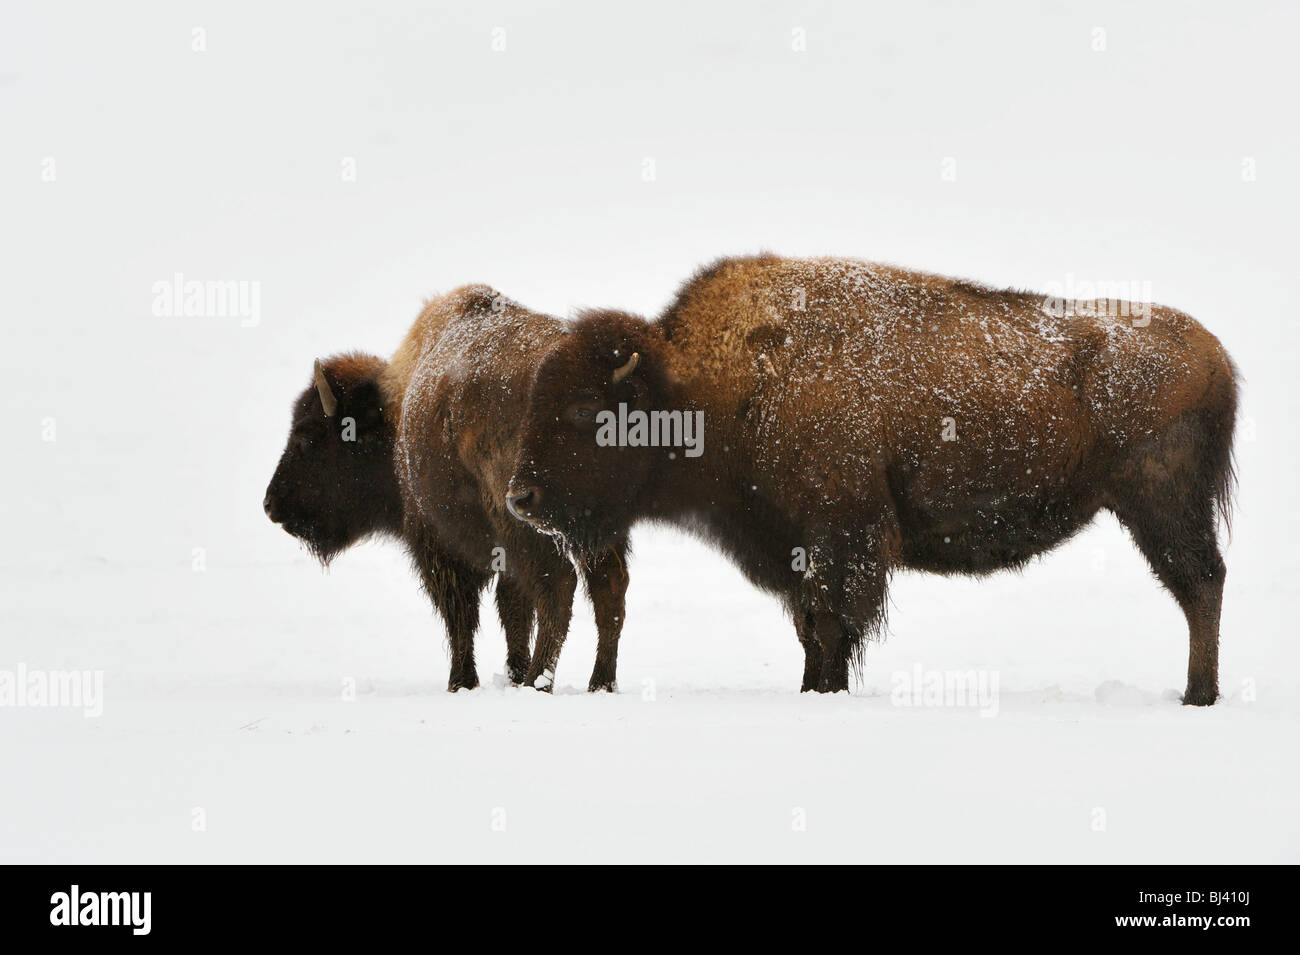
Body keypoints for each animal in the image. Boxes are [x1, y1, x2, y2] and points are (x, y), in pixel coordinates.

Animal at [263, 285, 629, 696]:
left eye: (306, 436)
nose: (271, 504)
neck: (395, 412)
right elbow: (512, 610)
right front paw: (510, 674)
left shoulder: (438, 542)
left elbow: (461, 614)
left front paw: (461, 683)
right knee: (609, 590)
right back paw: (600, 684)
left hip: (527, 524)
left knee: (559, 589)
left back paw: (539, 683)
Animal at [506, 254, 1237, 701]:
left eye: (584, 411)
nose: (521, 497)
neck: (703, 384)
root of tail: (1213, 352)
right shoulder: (800, 549)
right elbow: (810, 628)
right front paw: (811, 689)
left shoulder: (841, 538)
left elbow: (832, 625)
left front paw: (824, 690)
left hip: (1162, 505)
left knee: (1200, 584)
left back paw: (1197, 694)